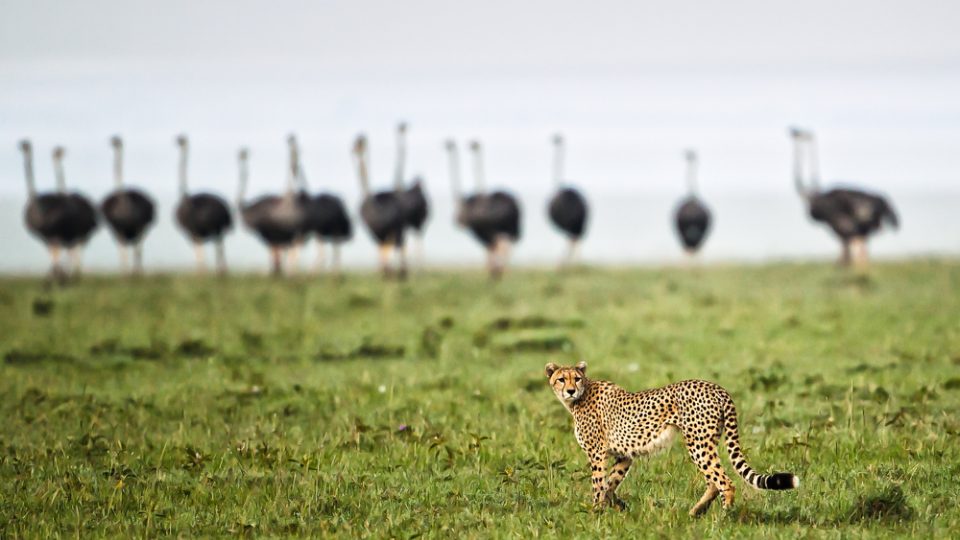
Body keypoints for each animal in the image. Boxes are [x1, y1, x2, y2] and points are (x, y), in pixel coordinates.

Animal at [544, 360, 800, 516]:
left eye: (576, 378)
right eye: (561, 379)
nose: (570, 390)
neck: (581, 396)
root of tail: (717, 387)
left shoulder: (597, 453)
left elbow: (598, 484)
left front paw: (595, 512)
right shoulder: (624, 455)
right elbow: (610, 484)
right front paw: (618, 507)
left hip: (698, 443)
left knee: (724, 481)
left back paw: (724, 516)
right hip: (705, 442)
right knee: (713, 481)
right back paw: (696, 512)